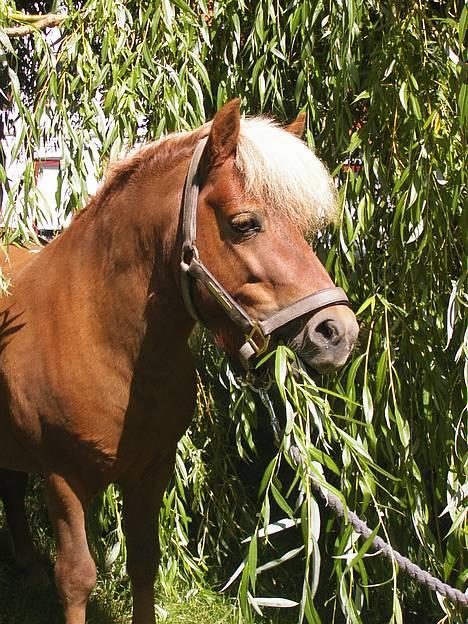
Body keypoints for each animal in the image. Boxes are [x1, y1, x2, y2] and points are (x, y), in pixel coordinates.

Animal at [0, 100, 356, 620]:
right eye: (245, 223)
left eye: (305, 228)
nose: (338, 332)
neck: (105, 340)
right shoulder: (63, 480)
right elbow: (76, 577)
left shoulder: (152, 469)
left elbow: (144, 561)